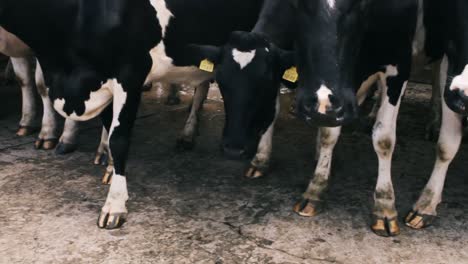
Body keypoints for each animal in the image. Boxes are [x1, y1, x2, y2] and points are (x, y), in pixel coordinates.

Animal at [292, 0, 420, 236]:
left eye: (361, 4)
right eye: (297, 4)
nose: (318, 105)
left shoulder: (400, 61)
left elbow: (384, 139)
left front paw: (385, 206)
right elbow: (329, 134)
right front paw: (316, 188)